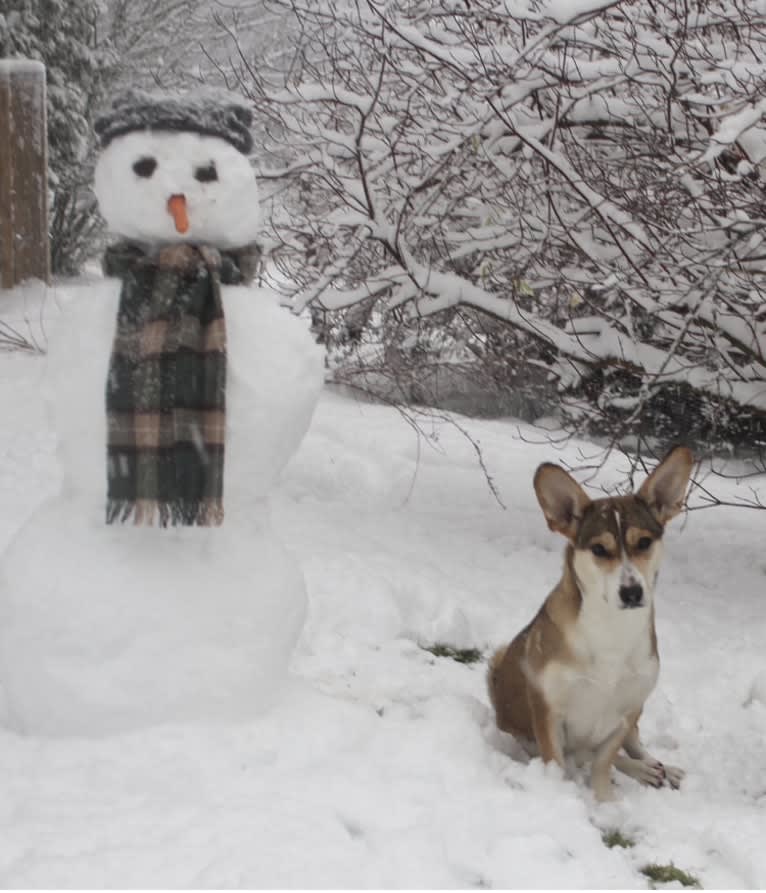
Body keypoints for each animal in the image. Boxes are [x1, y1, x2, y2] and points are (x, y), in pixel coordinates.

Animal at [492, 446, 696, 800]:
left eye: (644, 542)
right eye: (600, 549)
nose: (631, 592)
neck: (612, 631)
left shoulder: (625, 711)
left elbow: (604, 762)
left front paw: (606, 804)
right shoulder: (548, 710)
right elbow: (560, 763)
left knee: (633, 746)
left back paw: (657, 768)